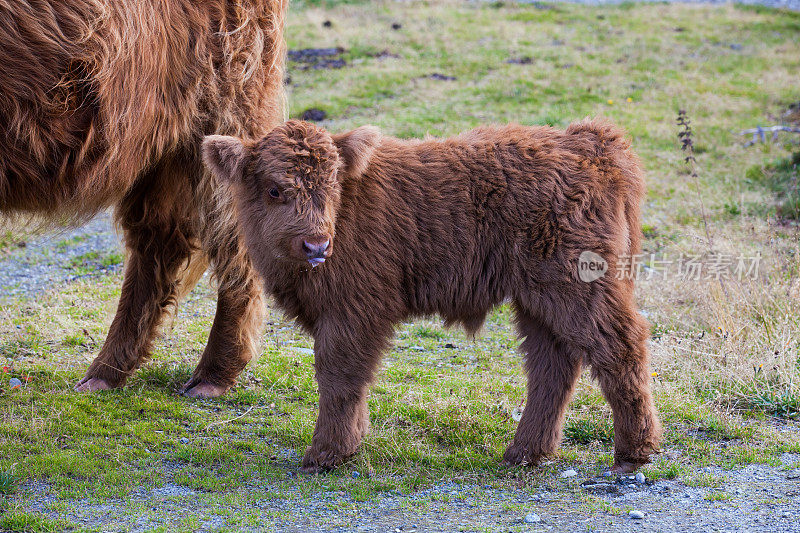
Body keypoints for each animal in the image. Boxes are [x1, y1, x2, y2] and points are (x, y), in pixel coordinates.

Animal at [0, 0, 288, 396]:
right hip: (161, 146)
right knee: (159, 242)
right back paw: (104, 374)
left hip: (225, 113)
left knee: (234, 244)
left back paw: (211, 377)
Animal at [205, 118, 664, 472]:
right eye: (274, 190)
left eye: (331, 185)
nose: (316, 246)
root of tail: (590, 142)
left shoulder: (353, 312)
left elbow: (339, 378)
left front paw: (327, 454)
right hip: (538, 299)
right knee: (552, 365)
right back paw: (525, 452)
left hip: (579, 285)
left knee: (620, 345)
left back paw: (633, 453)